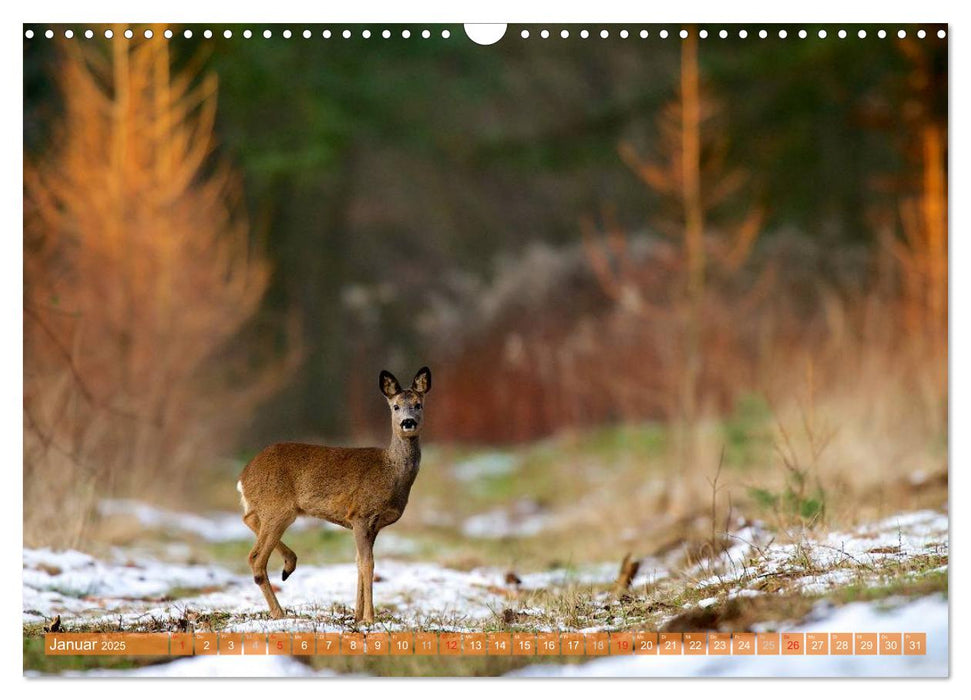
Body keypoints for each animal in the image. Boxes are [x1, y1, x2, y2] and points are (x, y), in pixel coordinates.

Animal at [237, 370, 430, 620]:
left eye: (418, 404)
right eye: (396, 406)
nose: (408, 422)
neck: (391, 472)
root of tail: (243, 476)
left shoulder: (373, 525)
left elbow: (358, 562)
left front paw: (357, 615)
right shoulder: (360, 514)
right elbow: (368, 564)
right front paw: (369, 618)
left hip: (271, 508)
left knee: (248, 519)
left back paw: (289, 564)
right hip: (277, 508)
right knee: (256, 558)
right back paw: (280, 612)